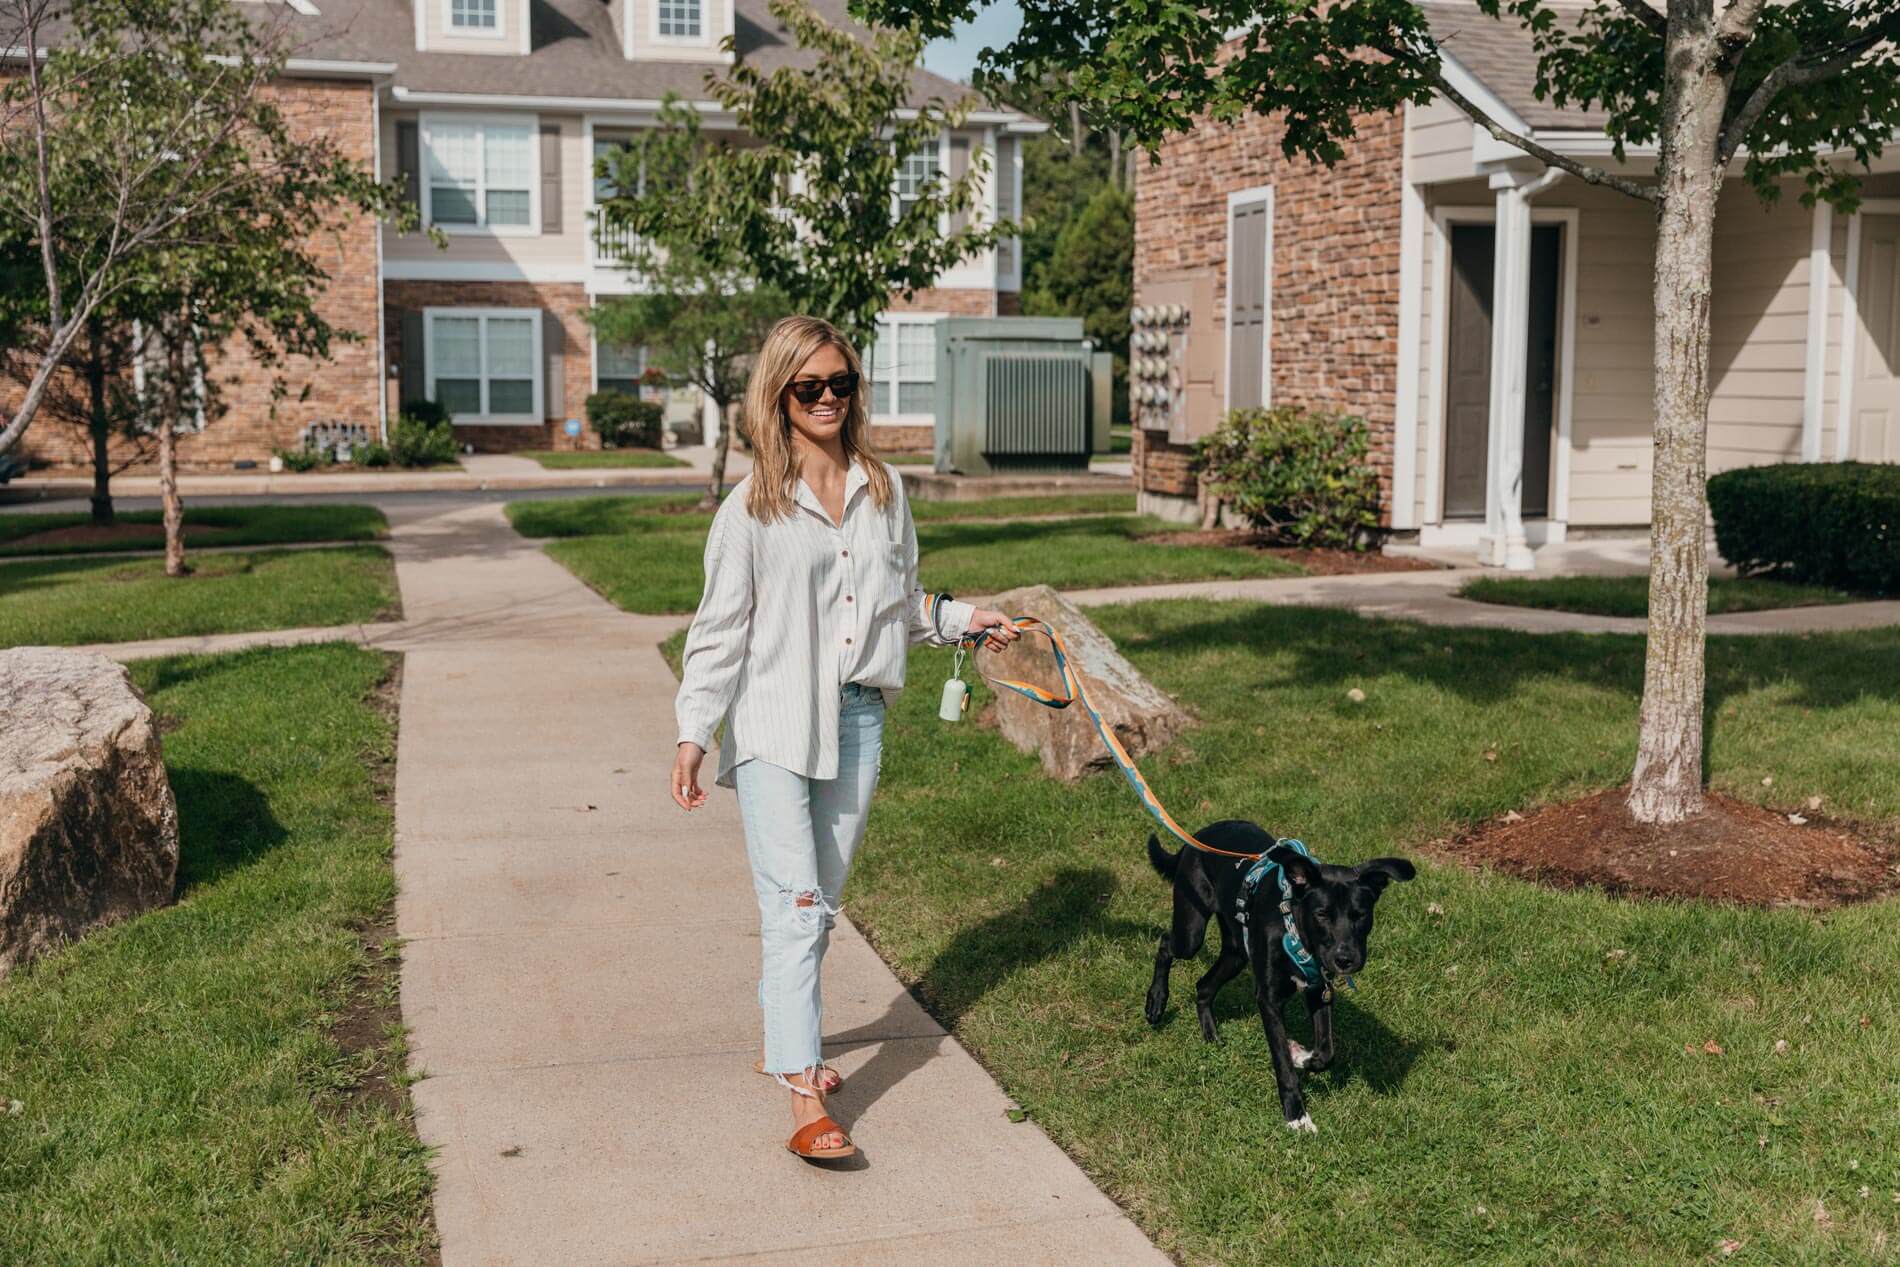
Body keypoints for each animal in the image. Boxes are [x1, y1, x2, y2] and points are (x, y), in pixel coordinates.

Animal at [1140, 824, 1413, 1139]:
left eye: (1361, 915)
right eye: (1322, 914)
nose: (1345, 959)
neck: (1293, 929)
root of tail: (1196, 838)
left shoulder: (1318, 990)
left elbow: (1326, 1052)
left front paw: (1300, 1055)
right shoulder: (1269, 1000)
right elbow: (1282, 1061)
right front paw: (1296, 1114)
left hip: (1236, 951)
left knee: (1203, 986)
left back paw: (1210, 1036)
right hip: (1191, 930)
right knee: (1166, 944)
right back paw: (1156, 1002)